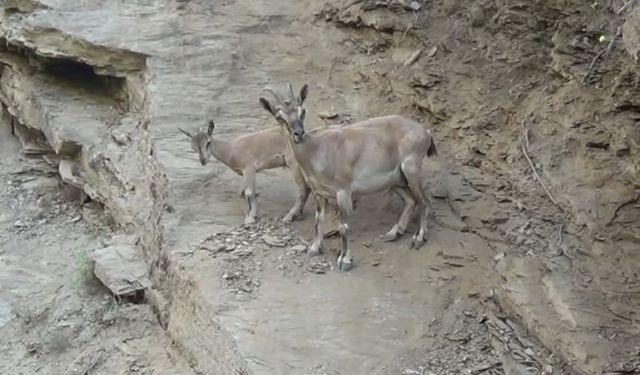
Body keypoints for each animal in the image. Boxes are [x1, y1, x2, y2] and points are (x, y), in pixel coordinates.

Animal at [179, 120, 312, 225]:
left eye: (208, 142)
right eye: (193, 146)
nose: (203, 160)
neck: (231, 149)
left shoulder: (250, 169)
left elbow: (249, 192)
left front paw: (251, 218)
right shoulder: (244, 173)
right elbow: (241, 193)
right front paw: (250, 214)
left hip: (294, 164)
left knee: (303, 189)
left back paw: (288, 216)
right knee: (307, 188)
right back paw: (299, 214)